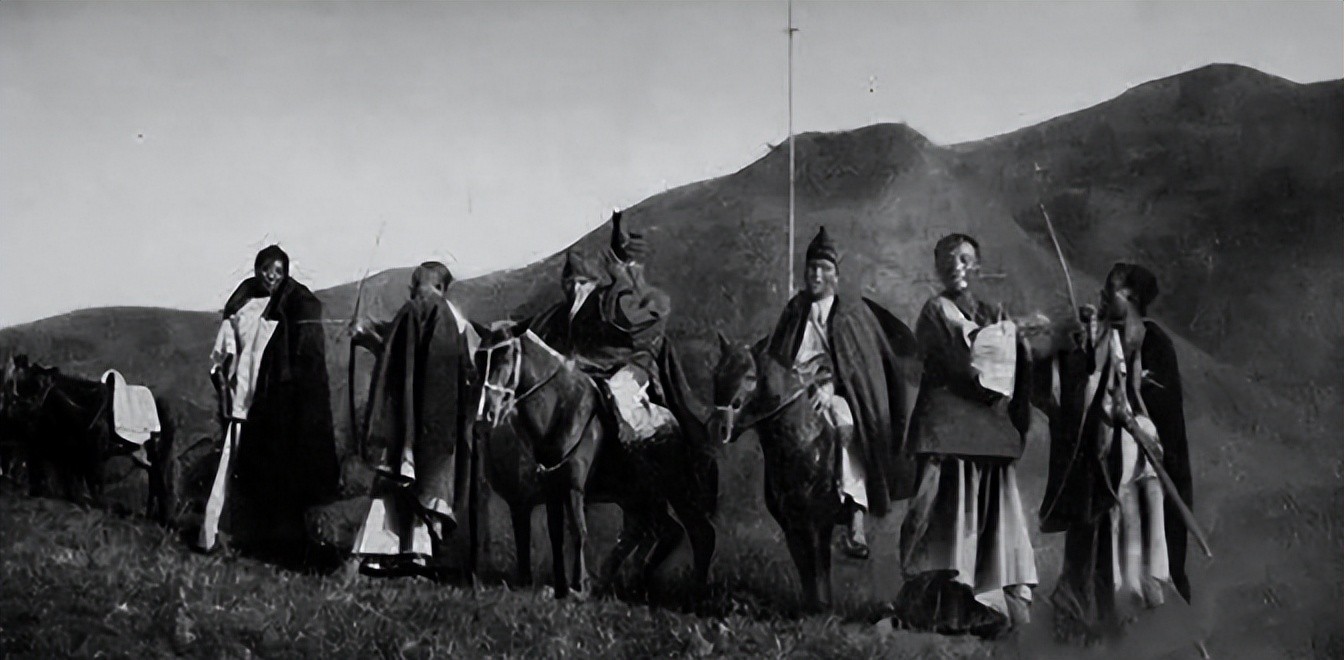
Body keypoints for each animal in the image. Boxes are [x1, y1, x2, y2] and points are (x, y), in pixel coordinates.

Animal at [1, 355, 176, 525]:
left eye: (35, 383)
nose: (11, 409)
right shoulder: (59, 456)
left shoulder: (90, 458)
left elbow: (92, 489)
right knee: (155, 485)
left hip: (158, 458)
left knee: (160, 487)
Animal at [475, 323, 717, 599]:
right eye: (479, 359)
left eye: (506, 356)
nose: (486, 414)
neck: (560, 408)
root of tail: (673, 422)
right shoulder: (551, 488)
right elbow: (556, 533)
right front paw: (562, 587)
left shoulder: (571, 487)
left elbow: (578, 531)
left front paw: (578, 586)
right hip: (637, 495)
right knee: (660, 530)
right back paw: (628, 580)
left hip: (674, 488)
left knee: (699, 532)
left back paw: (692, 590)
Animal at [709, 333, 844, 612]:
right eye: (717, 373)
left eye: (751, 376)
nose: (719, 428)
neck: (804, 437)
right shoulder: (792, 524)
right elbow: (807, 569)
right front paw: (814, 608)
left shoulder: (816, 522)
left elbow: (818, 568)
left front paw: (821, 611)